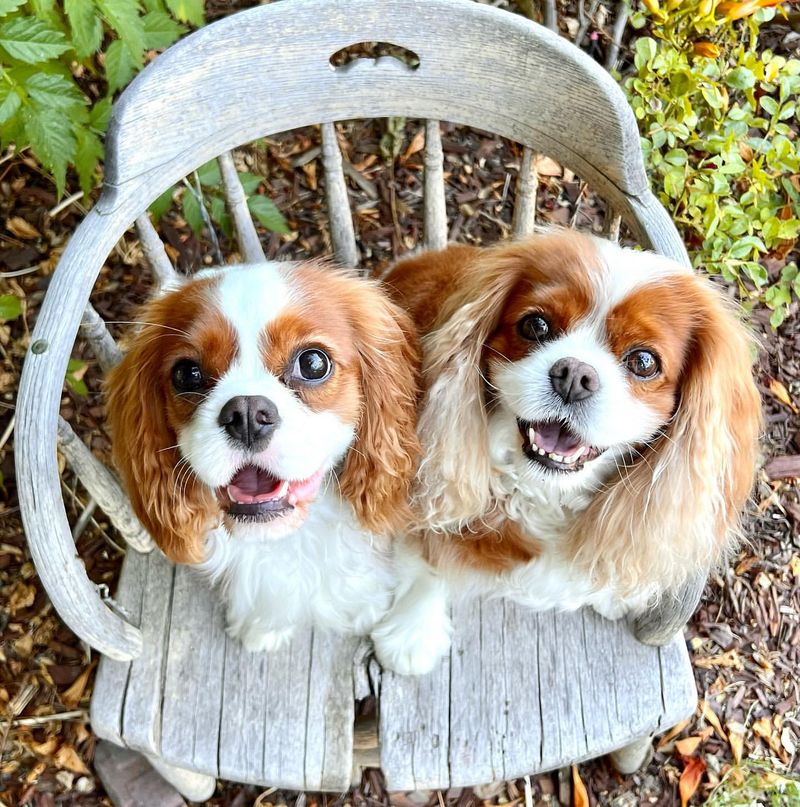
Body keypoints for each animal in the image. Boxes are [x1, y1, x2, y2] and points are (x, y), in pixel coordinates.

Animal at [372, 229, 760, 676]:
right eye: (536, 324)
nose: (574, 375)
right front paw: (413, 630)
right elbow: (429, 564)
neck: (543, 493)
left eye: (644, 361)